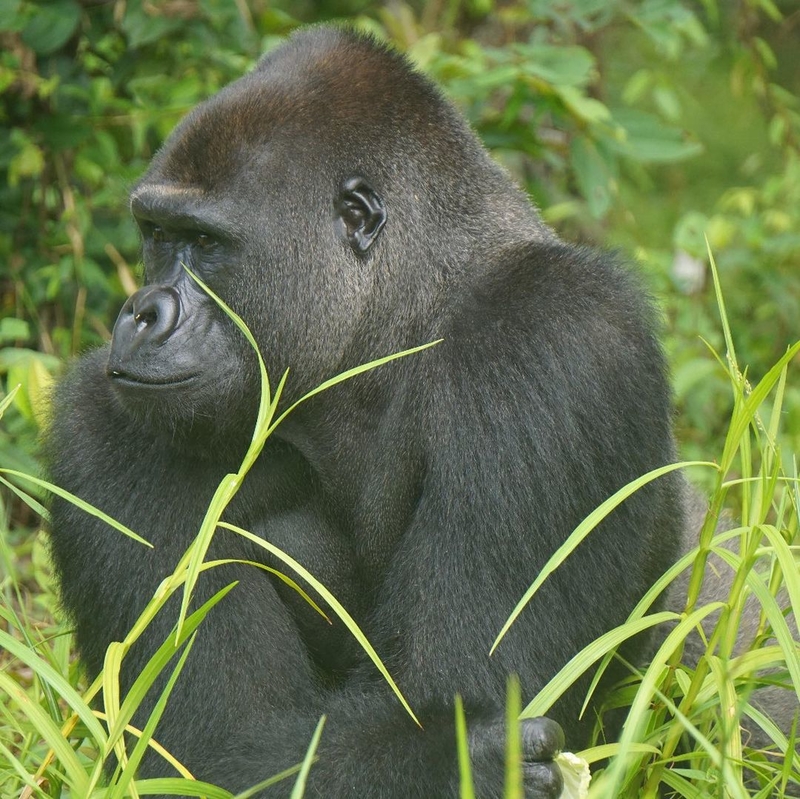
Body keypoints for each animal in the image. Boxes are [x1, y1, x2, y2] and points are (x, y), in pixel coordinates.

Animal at [42, 25, 680, 799]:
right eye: (157, 235)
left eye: (206, 243)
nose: (140, 314)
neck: (400, 318)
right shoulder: (104, 421)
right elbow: (206, 742)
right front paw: (462, 760)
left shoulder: (556, 336)